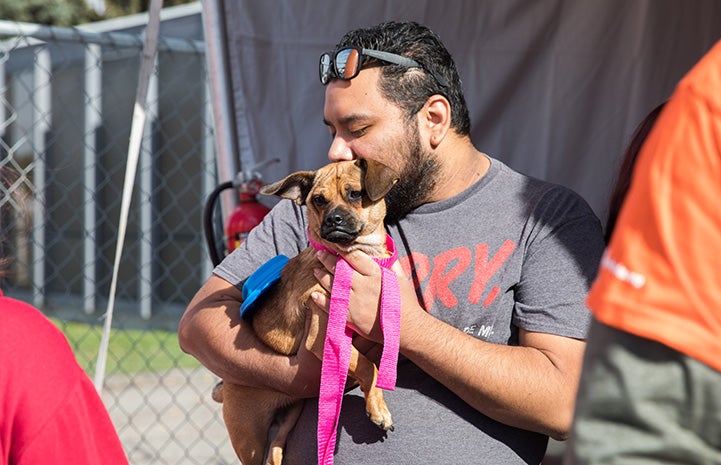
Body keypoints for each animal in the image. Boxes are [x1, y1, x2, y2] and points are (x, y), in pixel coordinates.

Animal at [215, 159, 400, 464]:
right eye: (318, 200)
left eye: (355, 194)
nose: (334, 219)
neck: (355, 257)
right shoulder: (325, 335)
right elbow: (367, 365)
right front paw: (379, 409)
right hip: (249, 437)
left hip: (289, 416)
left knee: (275, 451)